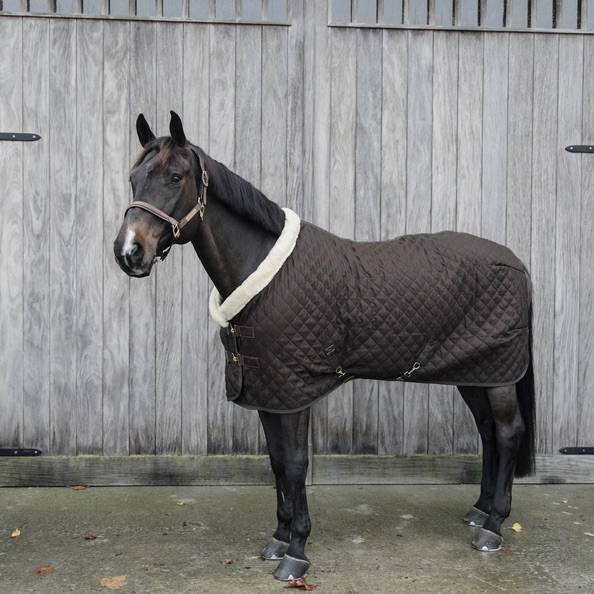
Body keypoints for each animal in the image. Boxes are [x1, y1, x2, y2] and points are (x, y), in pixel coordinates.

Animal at [113, 110, 536, 580]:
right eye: (134, 178)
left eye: (175, 176)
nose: (129, 252)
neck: (265, 273)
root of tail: (515, 263)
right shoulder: (270, 390)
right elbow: (278, 462)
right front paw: (279, 539)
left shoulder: (294, 391)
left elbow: (296, 463)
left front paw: (296, 552)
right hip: (475, 373)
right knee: (488, 433)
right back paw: (479, 512)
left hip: (498, 374)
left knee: (507, 432)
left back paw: (493, 527)